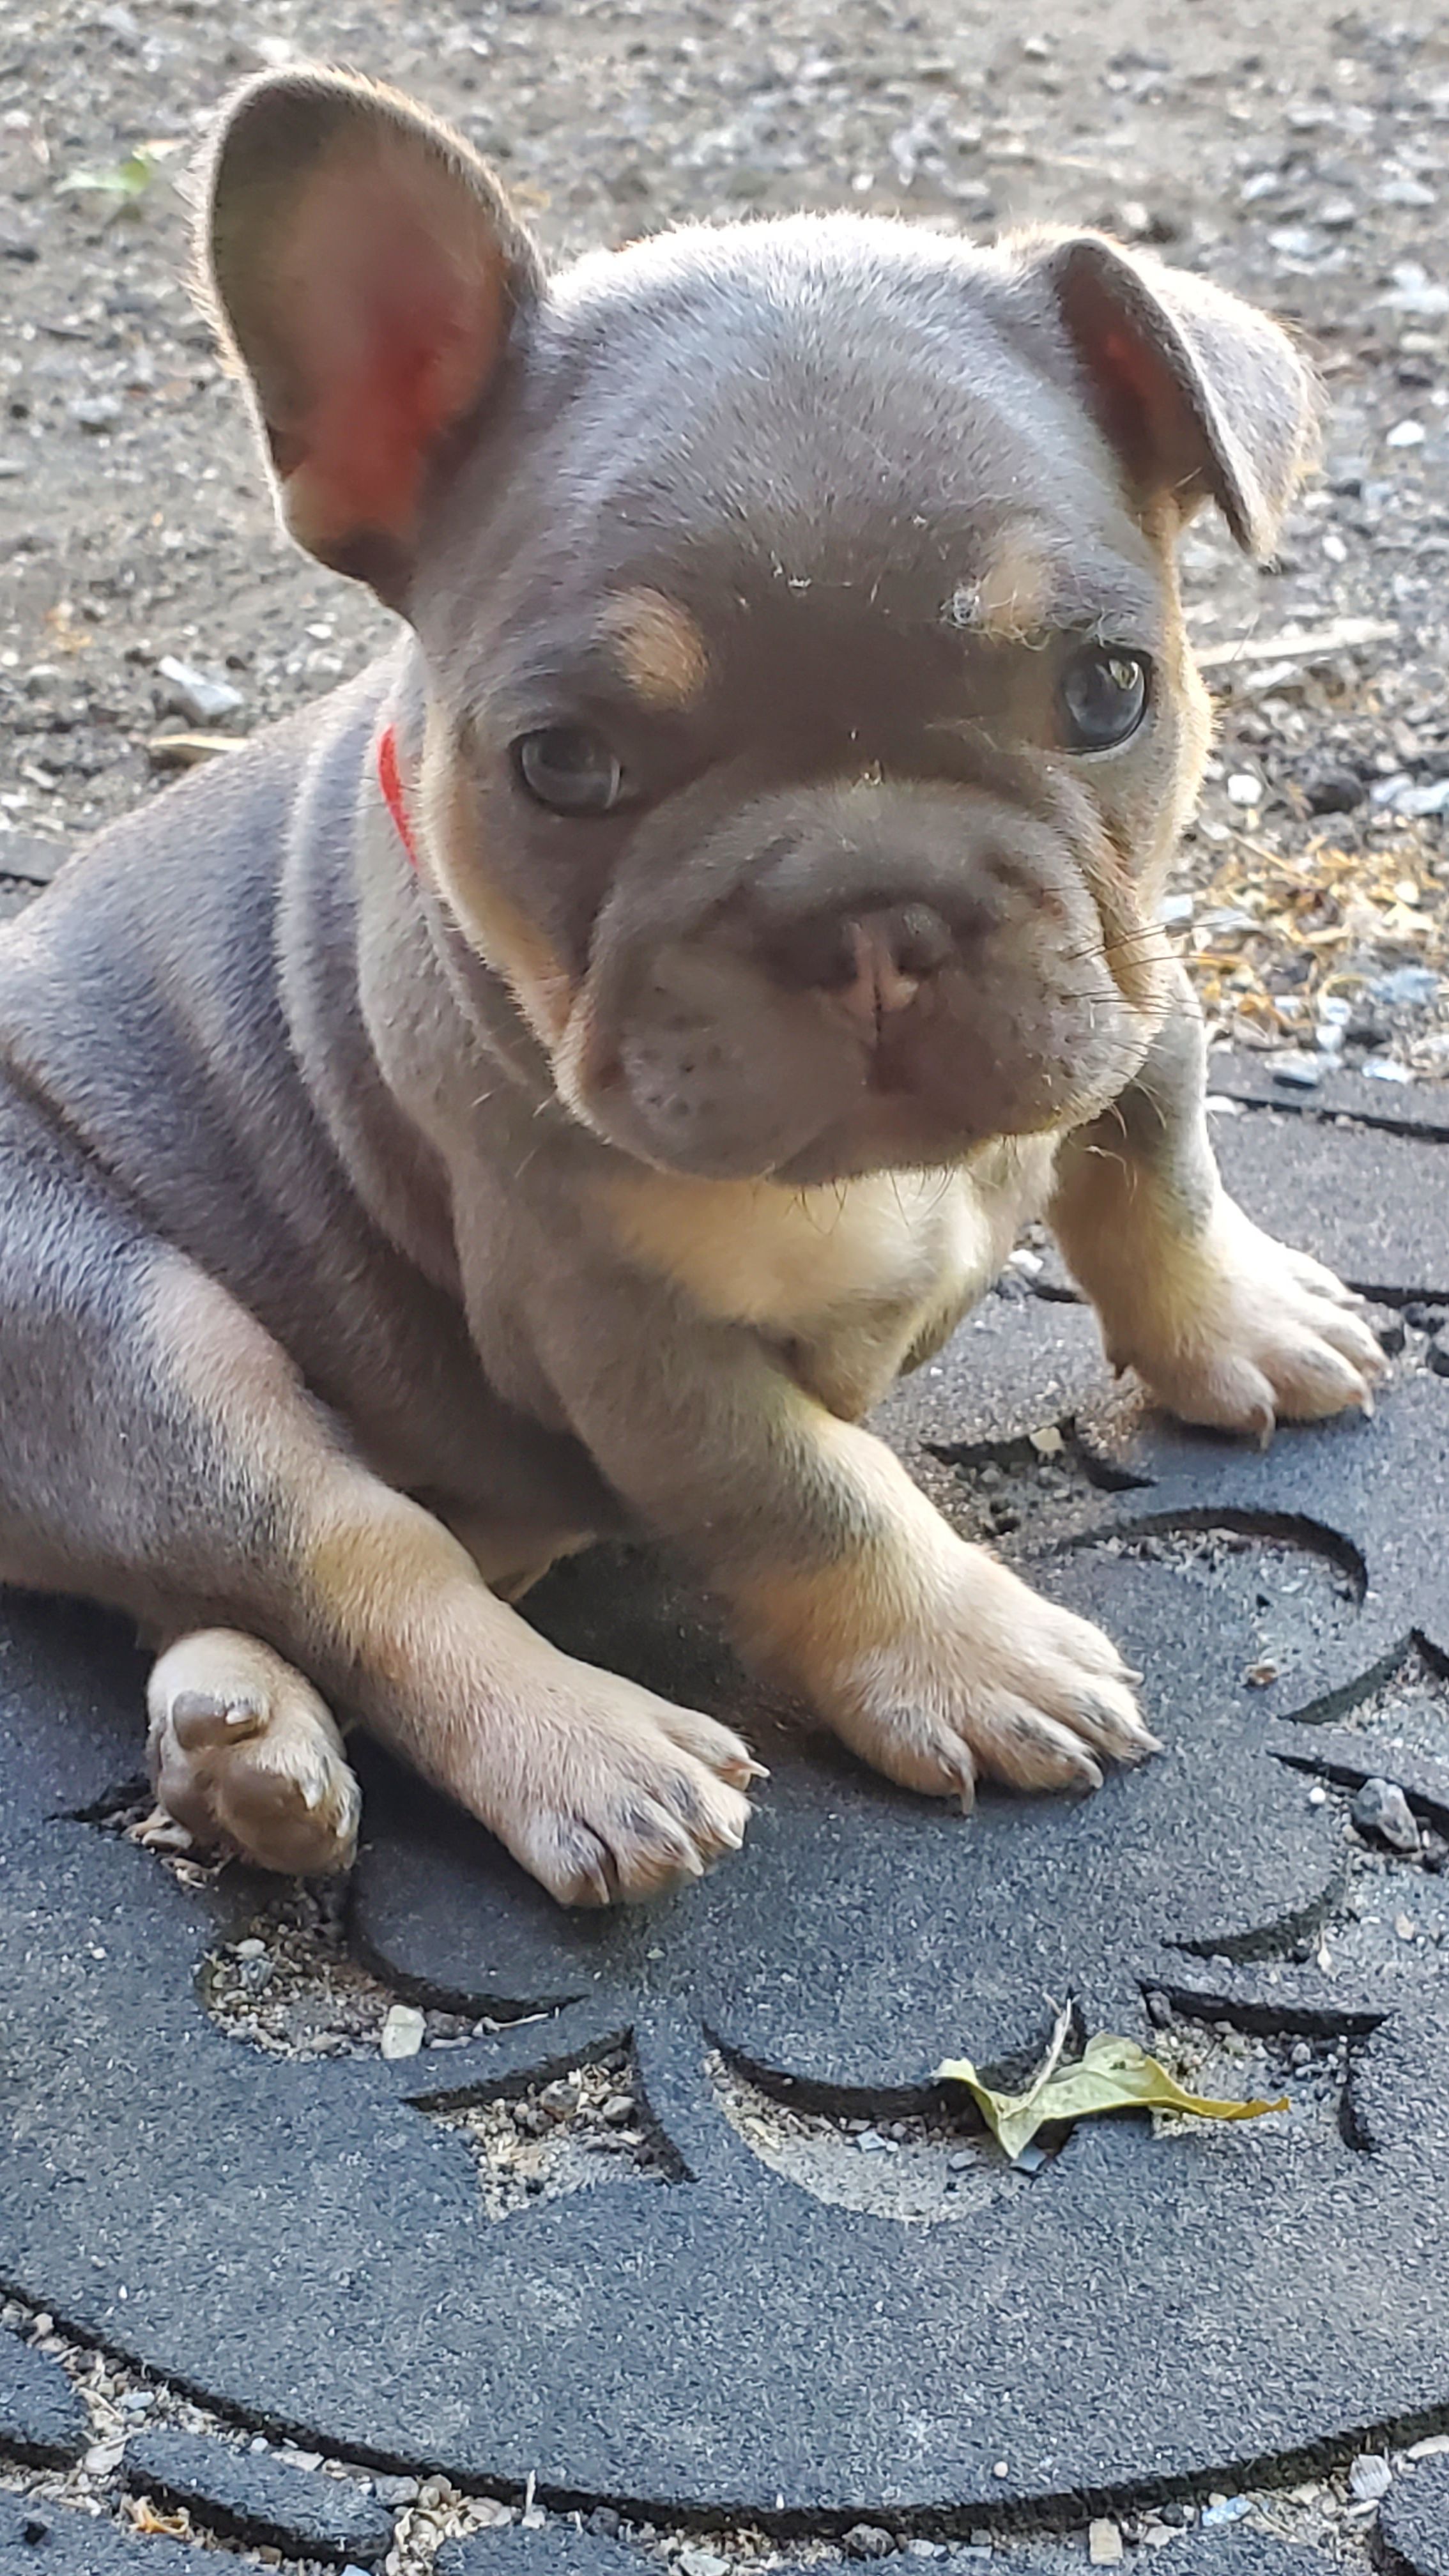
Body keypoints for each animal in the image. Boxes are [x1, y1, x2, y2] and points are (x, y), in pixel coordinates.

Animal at [0, 70, 1382, 1906]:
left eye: (1106, 691)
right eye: (565, 765)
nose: (873, 917)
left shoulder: (1129, 992)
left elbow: (1157, 1167)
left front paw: (1239, 1320)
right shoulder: (618, 1328)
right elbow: (808, 1490)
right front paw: (965, 1653)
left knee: (225, 1591)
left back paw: (244, 1749)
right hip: (136, 1332)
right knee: (356, 1552)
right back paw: (586, 1750)